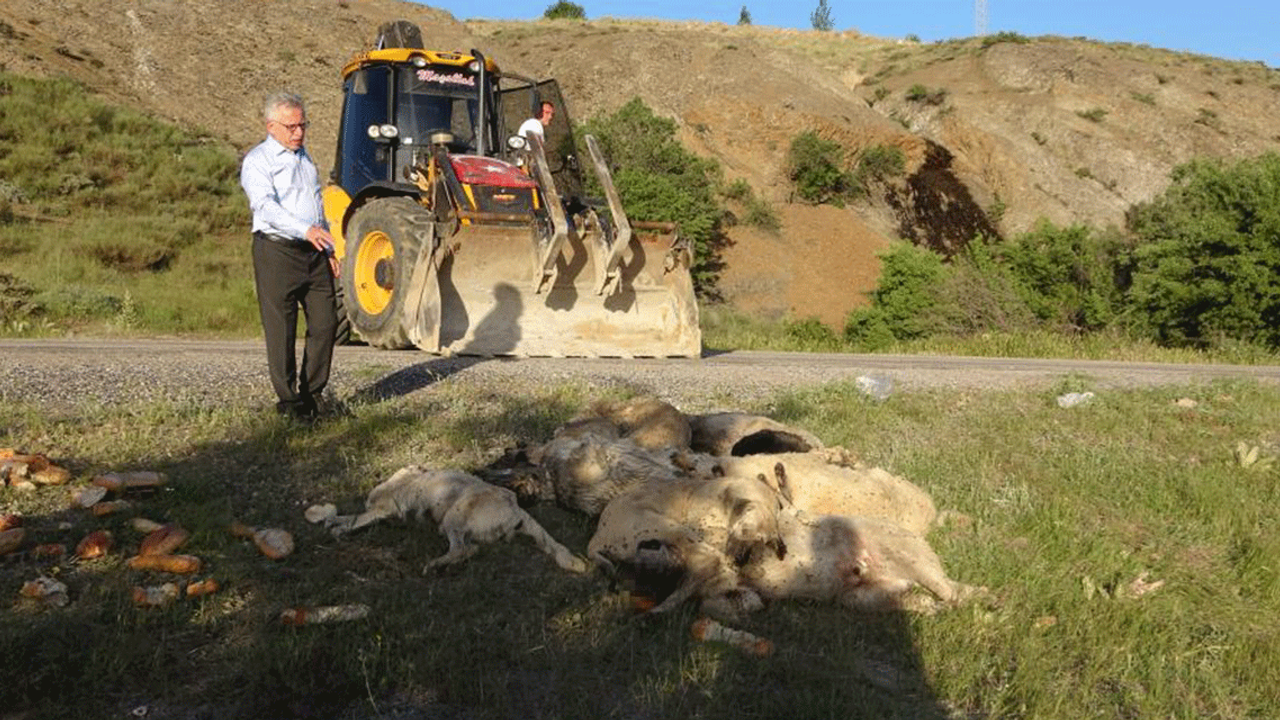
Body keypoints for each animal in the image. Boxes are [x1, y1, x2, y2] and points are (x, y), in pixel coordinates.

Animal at [330, 466, 588, 571]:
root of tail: (515, 508)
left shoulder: (384, 508)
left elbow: (352, 520)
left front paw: (337, 528)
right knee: (470, 549)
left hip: (451, 519)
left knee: (462, 550)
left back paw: (434, 565)